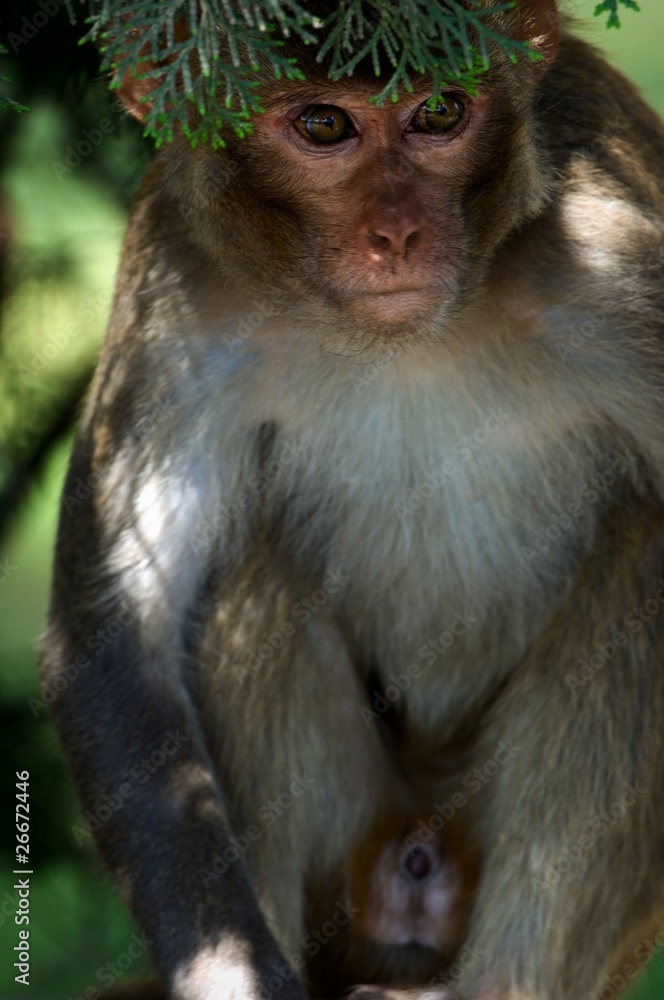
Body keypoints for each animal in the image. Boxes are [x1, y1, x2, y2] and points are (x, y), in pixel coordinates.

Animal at [39, 1, 664, 1000]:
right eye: (325, 125)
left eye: (441, 111)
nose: (397, 235)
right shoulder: (180, 274)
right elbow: (114, 635)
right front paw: (232, 973)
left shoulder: (621, 269)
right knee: (250, 564)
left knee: (649, 554)